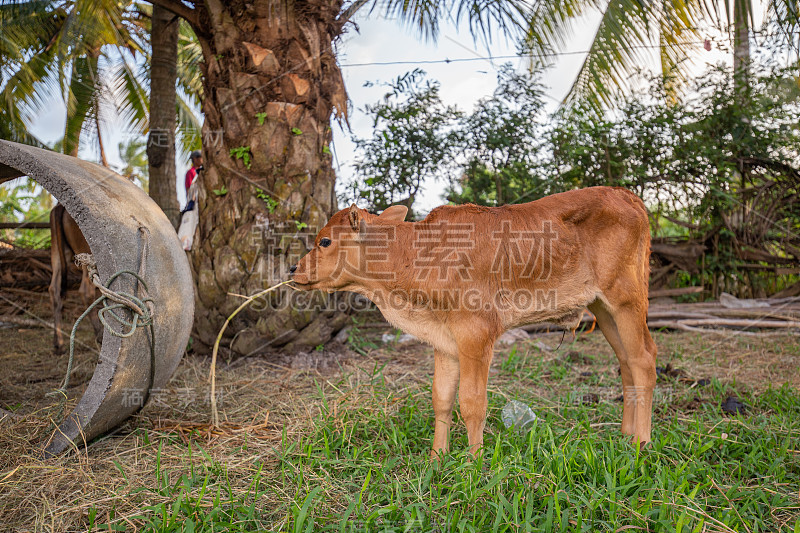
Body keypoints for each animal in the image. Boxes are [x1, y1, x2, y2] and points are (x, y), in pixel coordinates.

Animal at [49, 204, 101, 354]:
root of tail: (60, 206)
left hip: (57, 253)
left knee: (54, 290)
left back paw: (58, 343)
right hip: (86, 256)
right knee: (86, 291)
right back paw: (100, 335)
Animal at [290, 186, 656, 454]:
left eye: (325, 241)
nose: (293, 268)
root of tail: (626, 194)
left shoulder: (476, 334)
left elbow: (472, 402)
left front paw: (474, 462)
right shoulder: (444, 340)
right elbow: (441, 399)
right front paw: (438, 458)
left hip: (627, 299)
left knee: (644, 360)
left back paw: (641, 442)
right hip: (602, 308)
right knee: (625, 362)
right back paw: (625, 435)